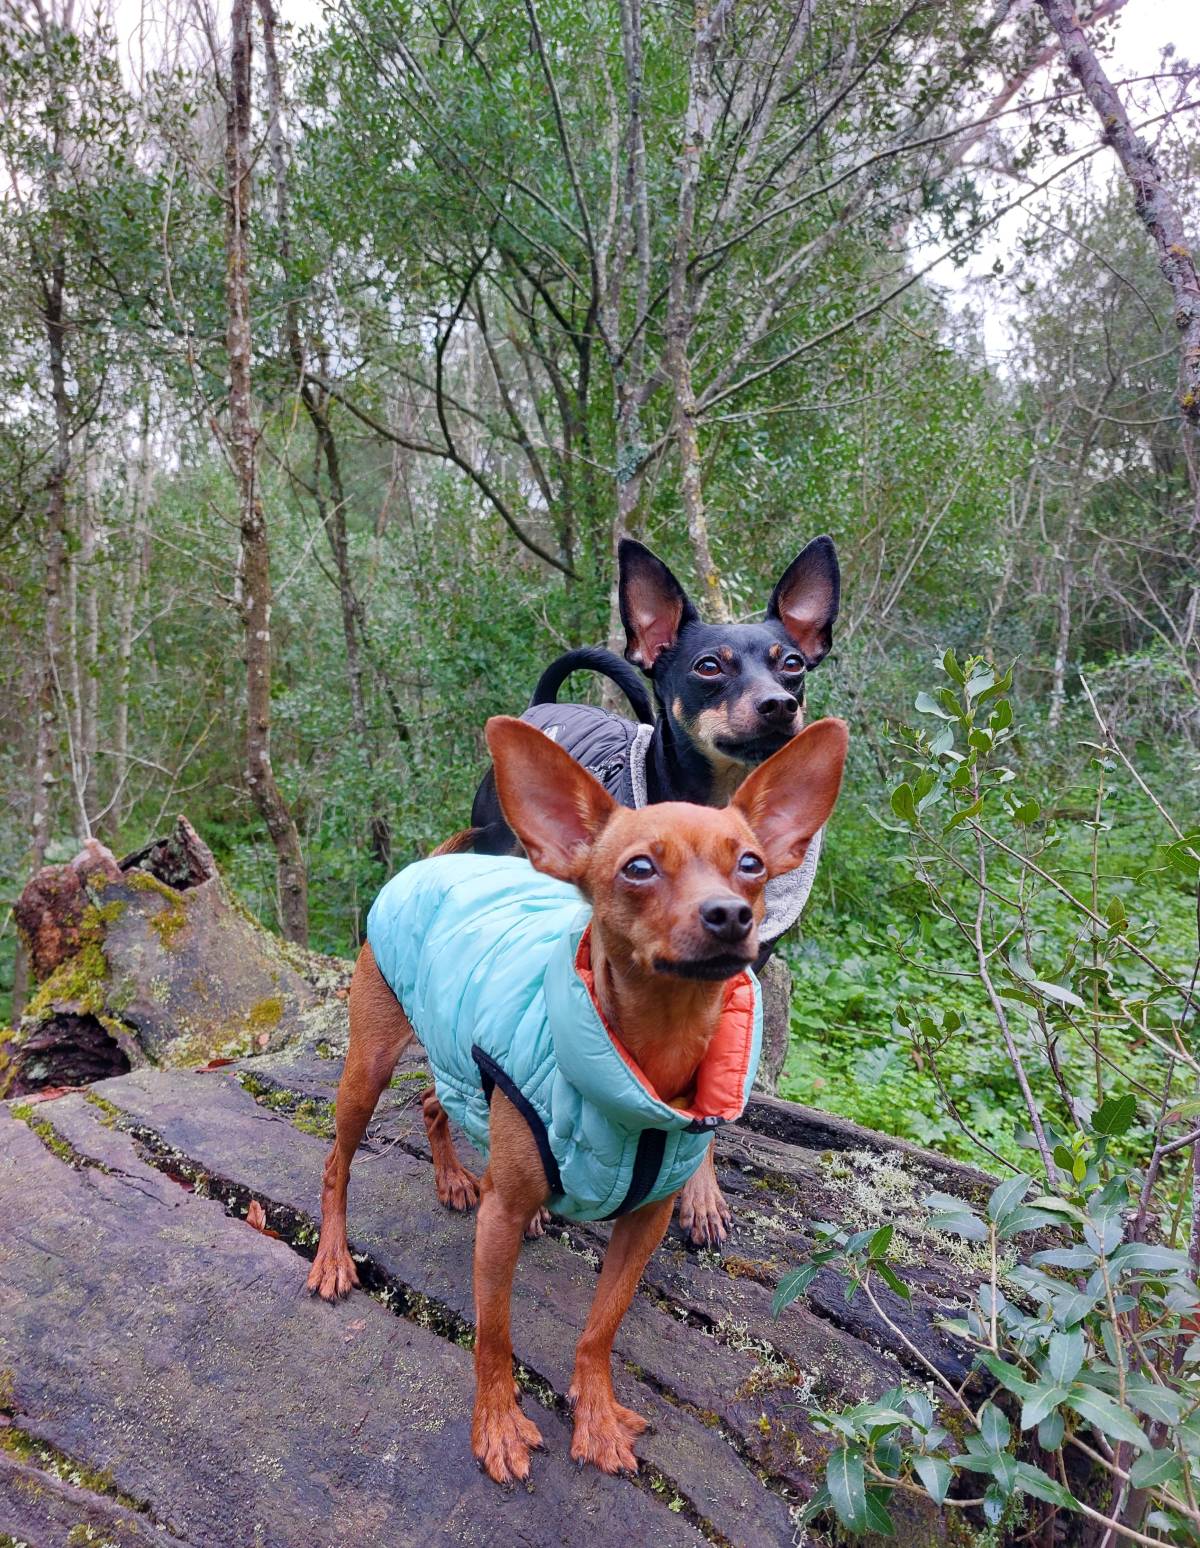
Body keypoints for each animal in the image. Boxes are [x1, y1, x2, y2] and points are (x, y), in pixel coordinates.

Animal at [309, 712, 854, 1486]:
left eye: (750, 864)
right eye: (639, 868)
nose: (728, 914)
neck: (644, 1070)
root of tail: (429, 864)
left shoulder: (645, 1223)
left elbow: (602, 1327)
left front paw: (595, 1415)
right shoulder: (500, 1221)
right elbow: (494, 1335)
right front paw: (498, 1426)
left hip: (460, 1049)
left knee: (436, 1105)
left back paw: (454, 1178)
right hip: (370, 1064)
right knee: (338, 1162)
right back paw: (332, 1256)